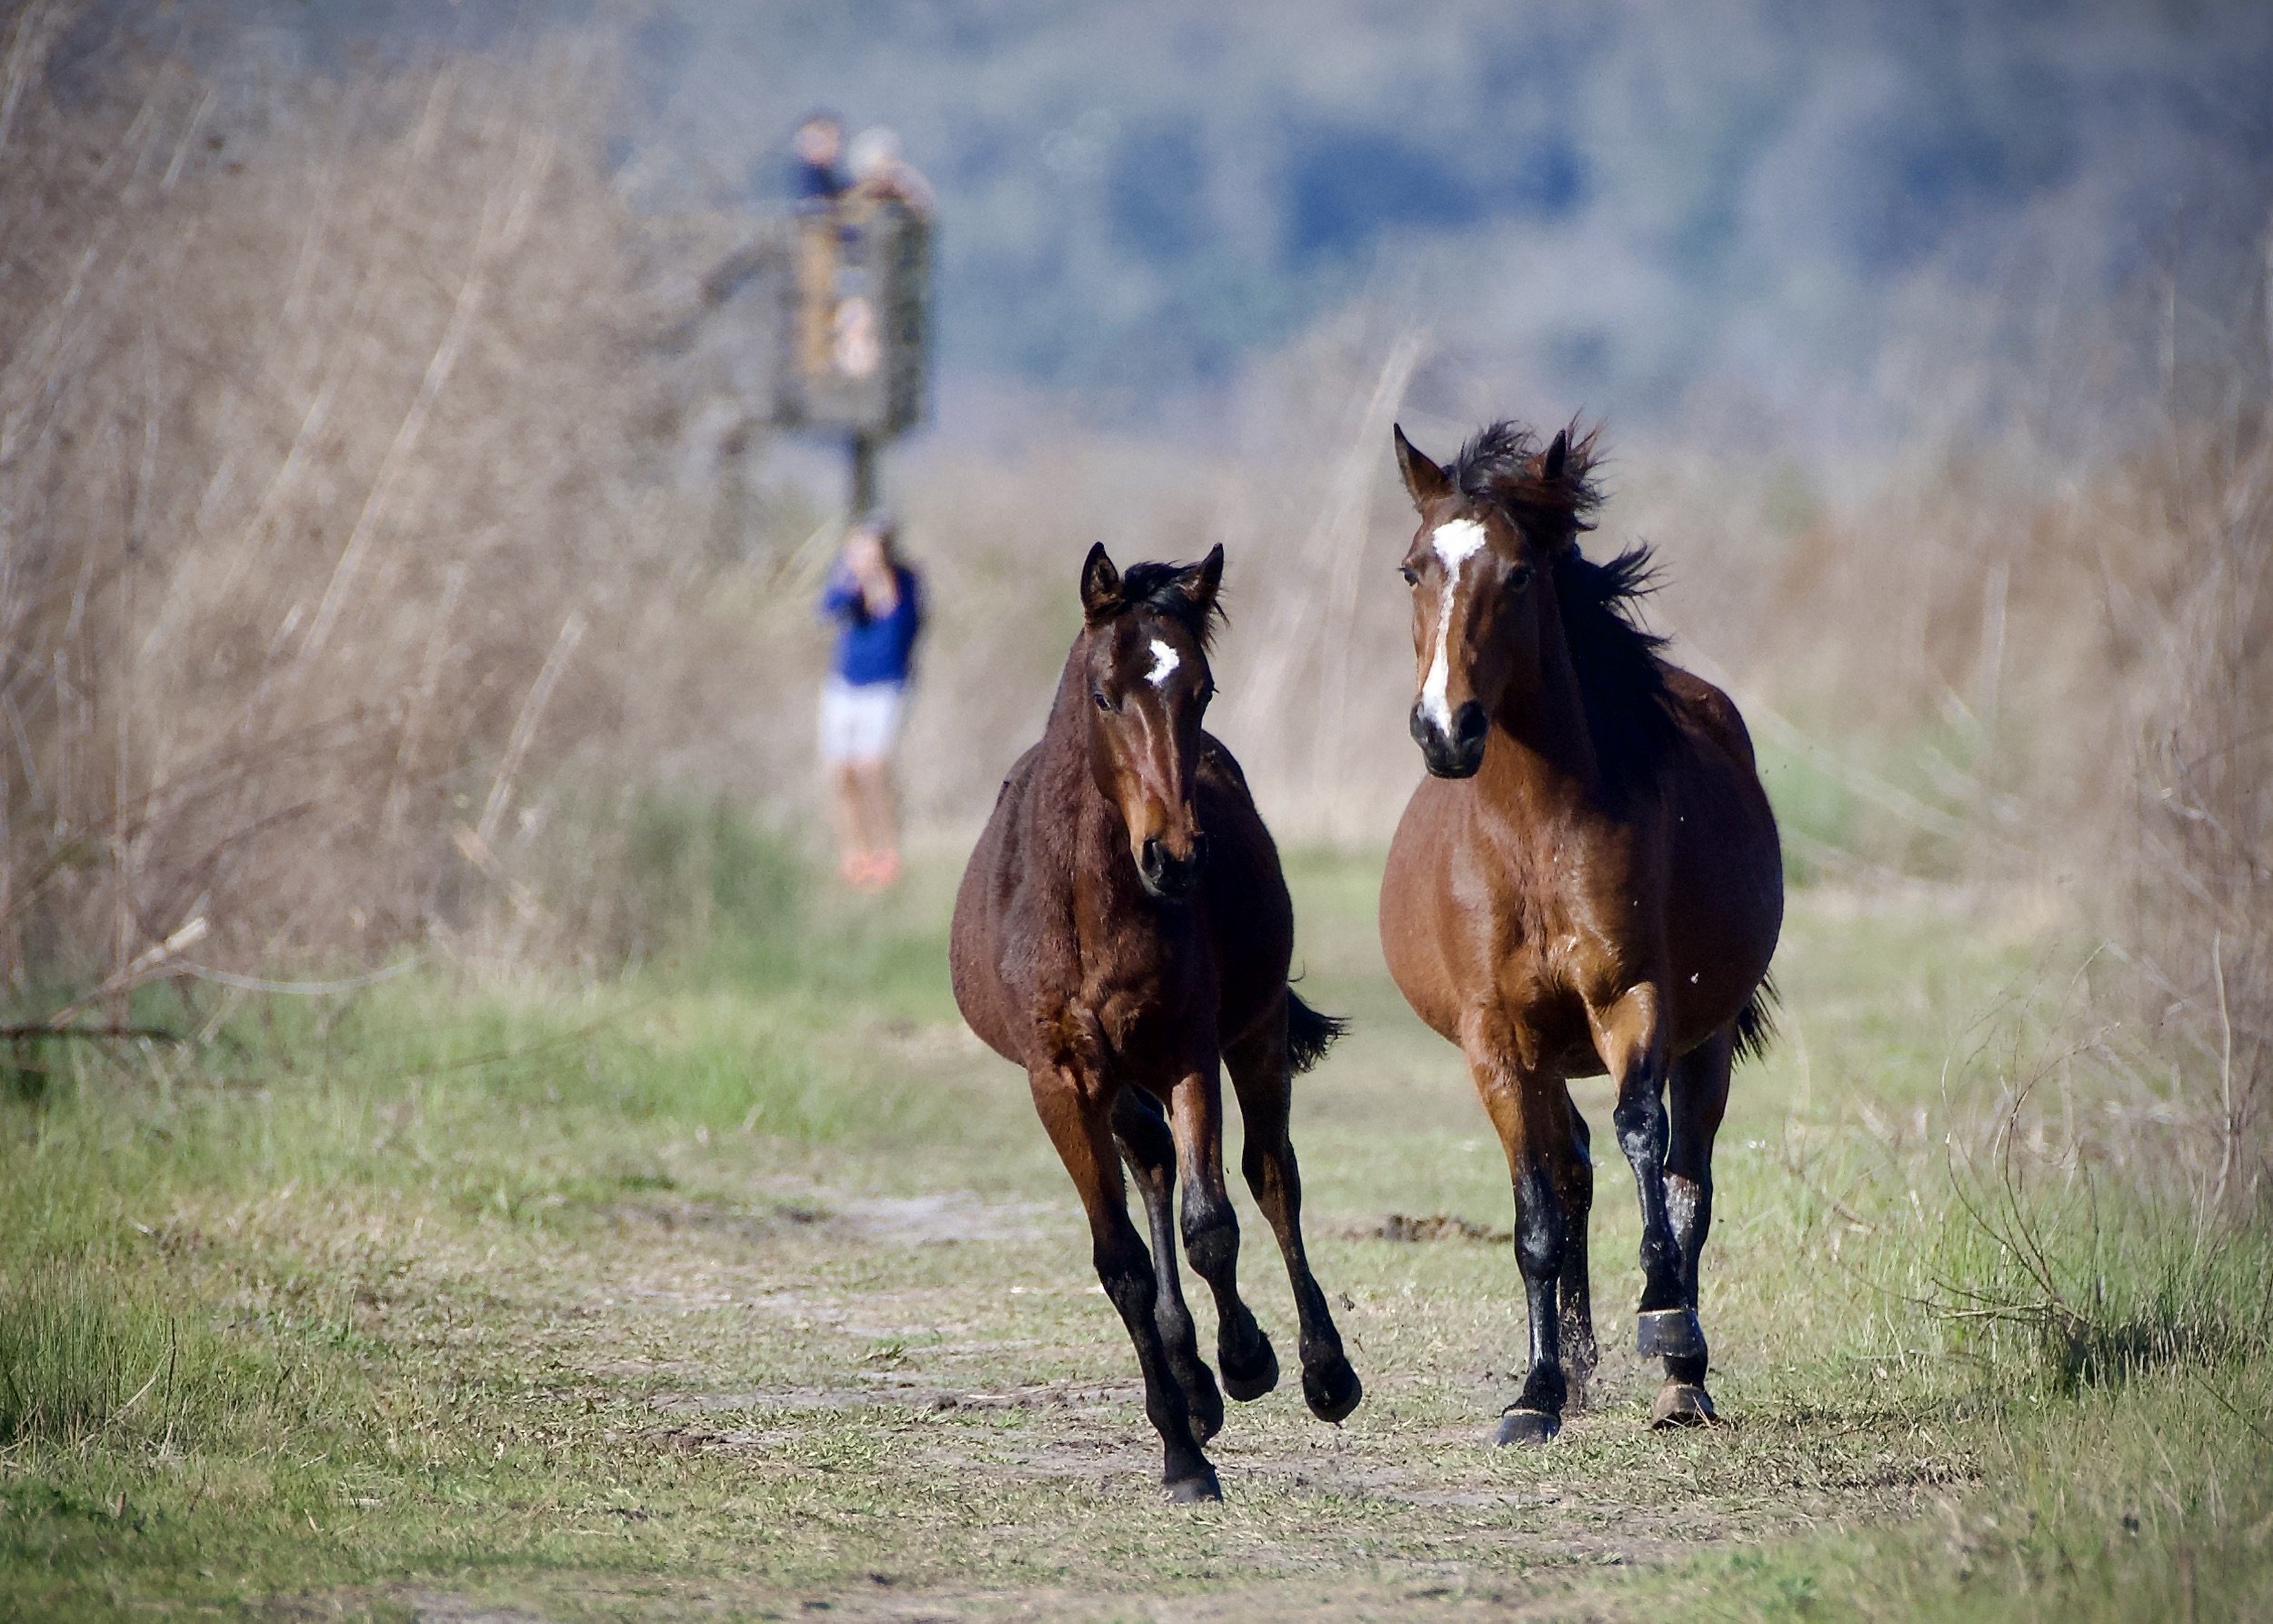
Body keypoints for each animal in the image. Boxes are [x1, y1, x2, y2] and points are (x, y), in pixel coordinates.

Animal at [950, 542, 1364, 1502]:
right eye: (1105, 695)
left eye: (1203, 690)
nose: (1175, 858)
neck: (1086, 907)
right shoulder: (1061, 1083)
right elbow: (1124, 1264)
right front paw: (1182, 1445)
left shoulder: (1187, 1050)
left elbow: (1213, 1224)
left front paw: (1248, 1363)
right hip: (1121, 1083)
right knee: (1153, 1165)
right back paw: (1194, 1385)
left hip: (1251, 1036)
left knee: (1270, 1176)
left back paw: (1318, 1370)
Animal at [1379, 420, 1782, 1444]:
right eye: (1412, 570)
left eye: (1521, 574)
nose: (1445, 730)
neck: (1532, 835)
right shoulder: (1497, 1041)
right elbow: (1536, 1217)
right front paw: (1536, 1393)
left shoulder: (1630, 998)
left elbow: (1643, 1135)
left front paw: (1664, 1313)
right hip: (1550, 1055)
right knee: (1570, 1177)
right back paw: (1580, 1360)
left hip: (1705, 1039)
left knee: (1686, 1177)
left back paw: (1681, 1373)